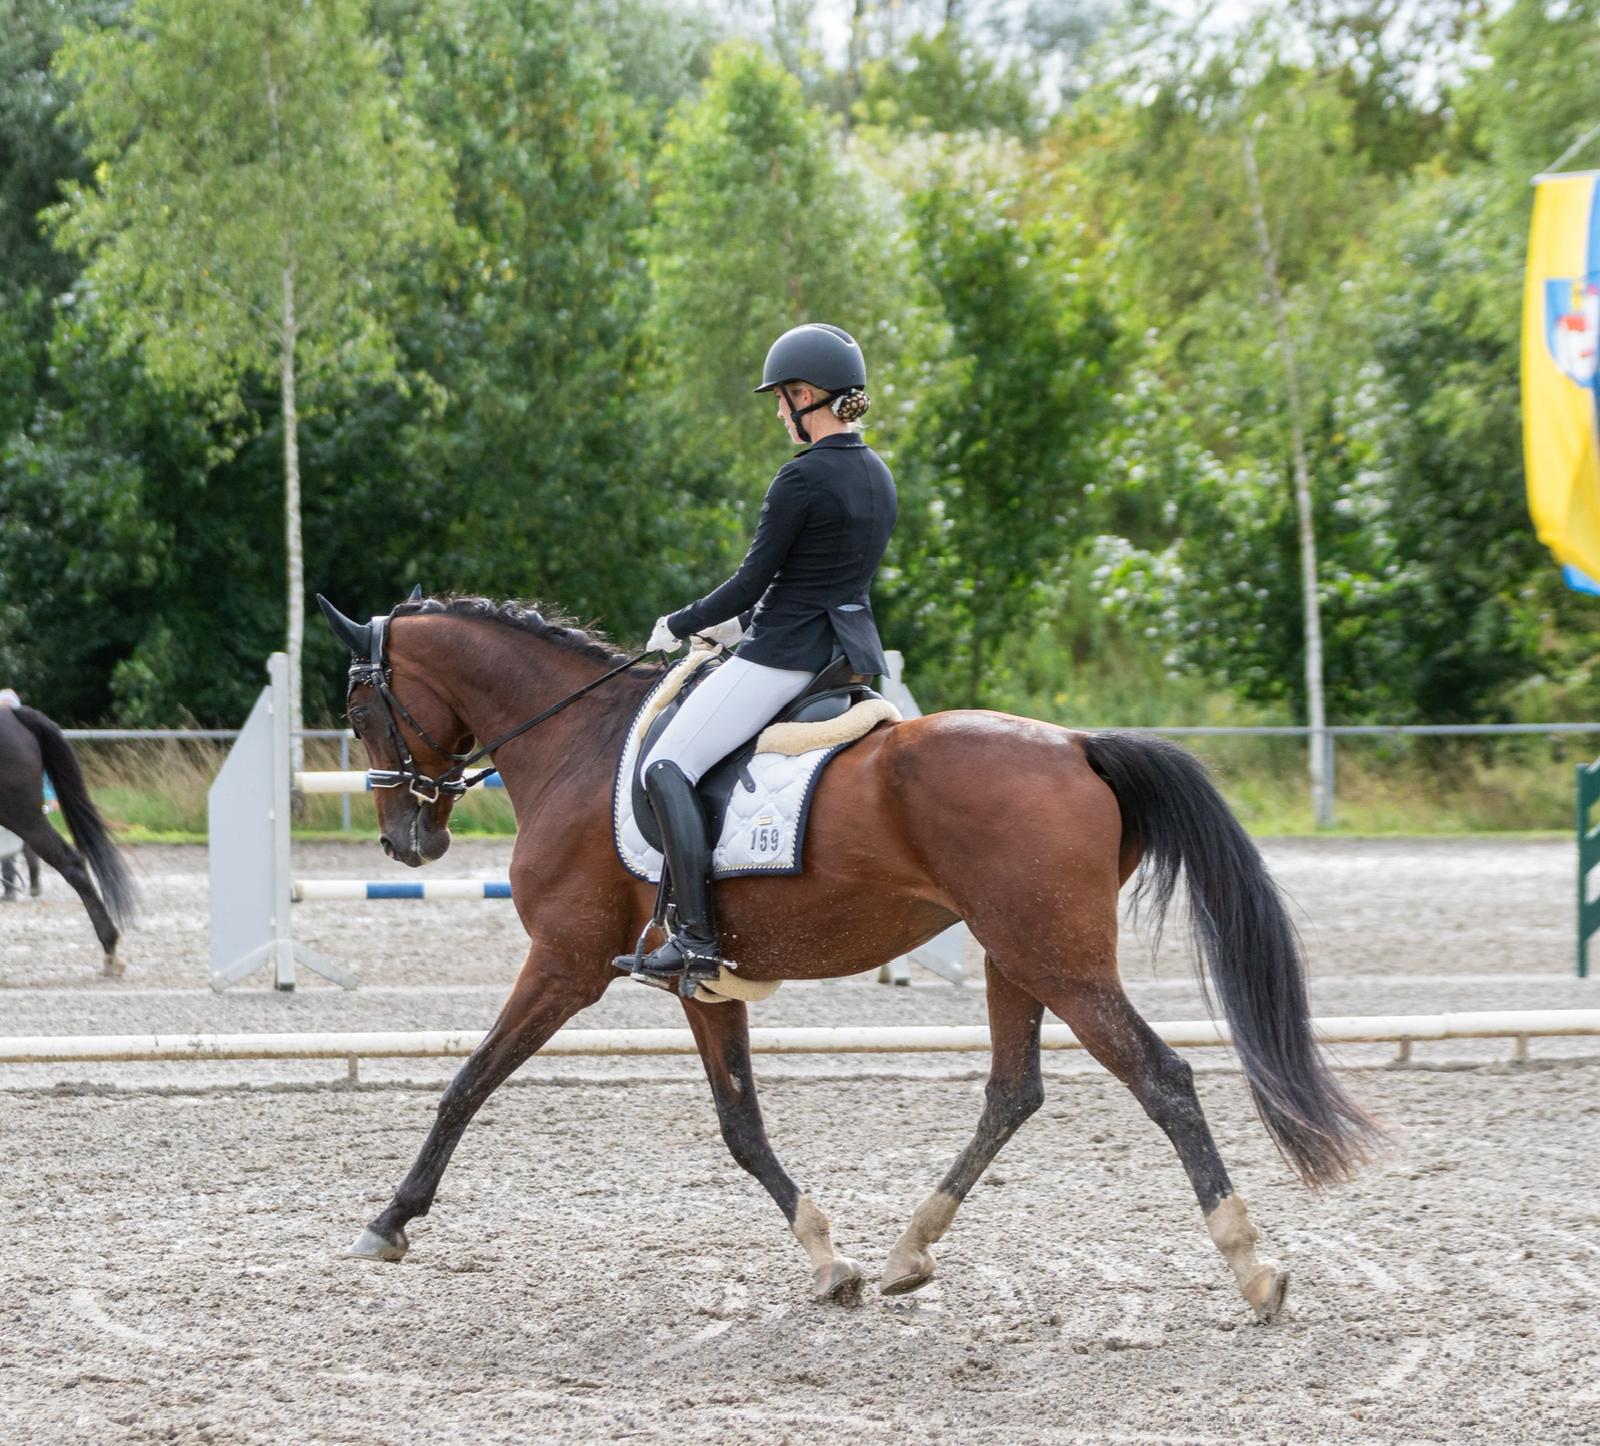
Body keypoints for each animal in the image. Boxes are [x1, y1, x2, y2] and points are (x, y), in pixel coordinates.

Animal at [319, 593, 1383, 1321]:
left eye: (362, 708)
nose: (405, 842)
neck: (577, 744)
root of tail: (1078, 744)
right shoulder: (705, 985)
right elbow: (742, 1127)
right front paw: (832, 1259)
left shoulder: (566, 962)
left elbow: (467, 1081)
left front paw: (390, 1220)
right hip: (1014, 954)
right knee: (1013, 1092)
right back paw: (912, 1249)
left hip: (1057, 959)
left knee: (1160, 1077)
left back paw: (1252, 1266)